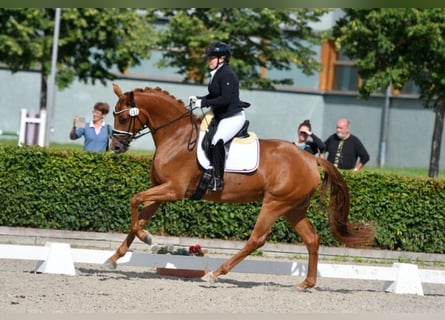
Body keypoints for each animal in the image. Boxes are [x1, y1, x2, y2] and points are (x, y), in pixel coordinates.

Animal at [106, 84, 372, 288]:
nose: (115, 147)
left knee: (257, 239)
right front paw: (114, 258)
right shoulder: (162, 190)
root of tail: (310, 158)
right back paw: (306, 283)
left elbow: (134, 201)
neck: (177, 137)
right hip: (294, 208)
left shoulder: (173, 190)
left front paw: (147, 238)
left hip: (275, 203)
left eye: (123, 117)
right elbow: (139, 217)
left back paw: (214, 274)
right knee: (312, 239)